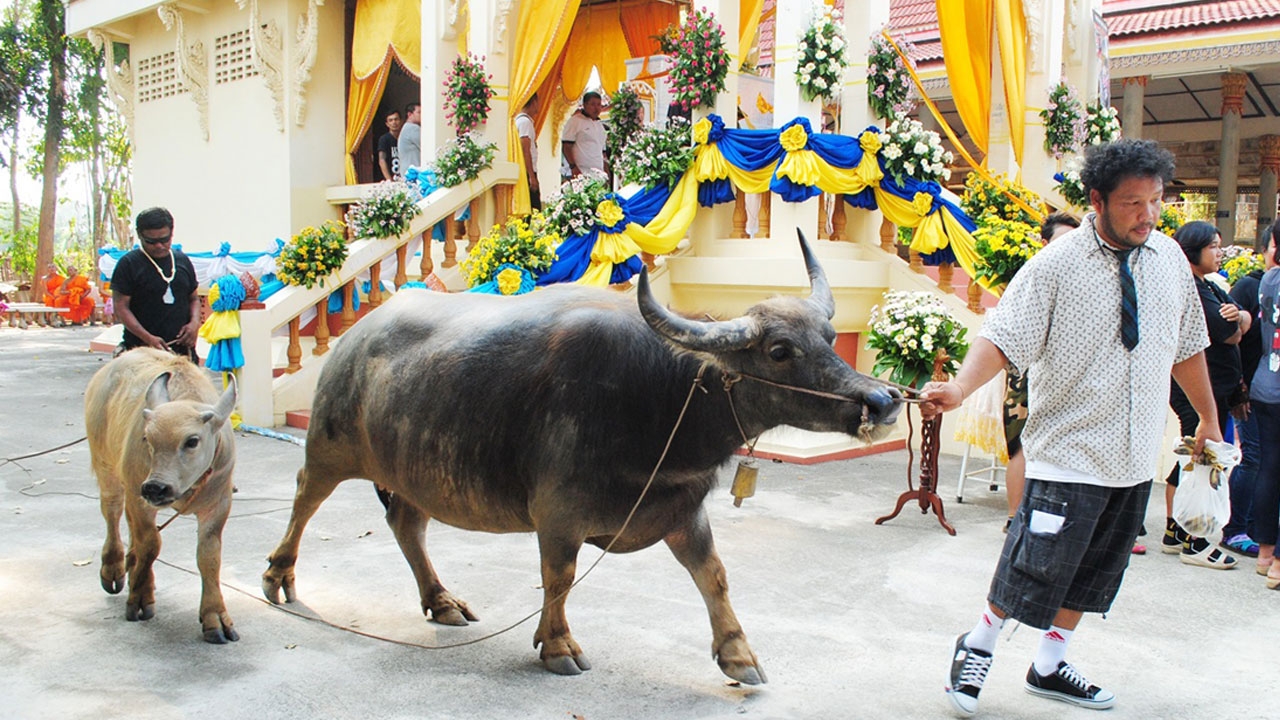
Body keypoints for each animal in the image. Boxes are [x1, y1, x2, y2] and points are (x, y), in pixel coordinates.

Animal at [262, 229, 901, 676]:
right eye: (778, 350)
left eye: (829, 335)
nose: (882, 400)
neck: (662, 395)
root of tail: (354, 336)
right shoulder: (559, 513)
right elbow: (559, 577)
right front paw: (558, 645)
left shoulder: (682, 509)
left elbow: (714, 575)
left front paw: (739, 655)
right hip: (328, 447)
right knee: (304, 497)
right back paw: (277, 576)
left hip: (416, 470)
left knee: (405, 523)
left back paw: (441, 602)